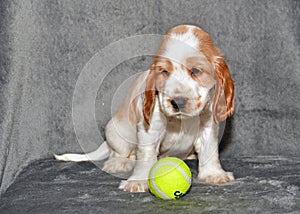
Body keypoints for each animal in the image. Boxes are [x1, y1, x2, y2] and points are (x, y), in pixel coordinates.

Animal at [55, 24, 234, 192]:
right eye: (164, 72)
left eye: (196, 70)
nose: (177, 102)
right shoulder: (151, 127)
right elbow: (146, 154)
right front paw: (138, 181)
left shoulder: (207, 122)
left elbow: (209, 149)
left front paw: (213, 174)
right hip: (116, 133)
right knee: (119, 152)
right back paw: (119, 163)